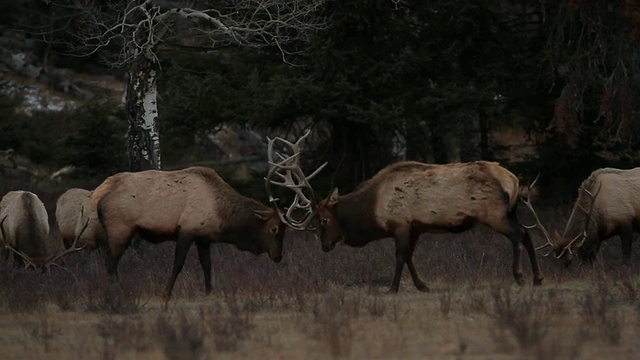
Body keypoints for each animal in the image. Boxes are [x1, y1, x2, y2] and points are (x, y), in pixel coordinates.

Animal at [90, 165, 288, 308]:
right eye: (274, 229)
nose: (278, 256)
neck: (220, 214)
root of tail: (99, 192)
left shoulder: (203, 238)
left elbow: (207, 265)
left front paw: (209, 292)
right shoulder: (187, 229)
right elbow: (178, 264)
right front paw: (166, 294)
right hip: (119, 229)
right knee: (111, 264)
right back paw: (119, 292)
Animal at [268, 132, 544, 292]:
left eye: (324, 219)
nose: (324, 246)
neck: (372, 209)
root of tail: (513, 180)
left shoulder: (400, 225)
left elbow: (400, 256)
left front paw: (392, 288)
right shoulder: (416, 227)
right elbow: (411, 255)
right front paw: (422, 285)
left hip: (494, 214)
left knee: (518, 235)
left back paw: (520, 276)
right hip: (511, 211)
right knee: (528, 233)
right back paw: (538, 278)